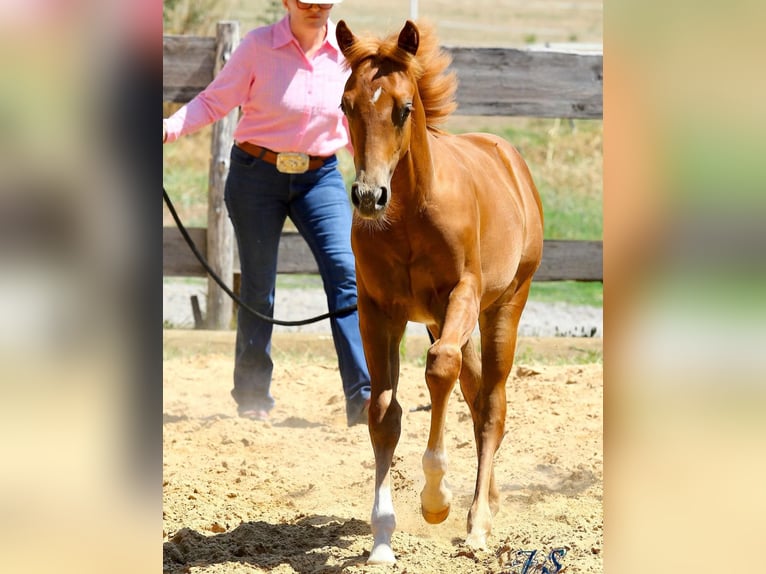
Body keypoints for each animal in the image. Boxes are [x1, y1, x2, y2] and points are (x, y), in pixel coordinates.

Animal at [336, 20, 544, 564]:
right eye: (346, 105)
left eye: (403, 108)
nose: (369, 197)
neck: (410, 213)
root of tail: (508, 157)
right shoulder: (378, 311)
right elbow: (383, 411)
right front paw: (382, 538)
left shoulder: (461, 295)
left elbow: (440, 368)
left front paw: (436, 499)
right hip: (436, 319)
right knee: (474, 396)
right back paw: (488, 497)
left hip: (503, 306)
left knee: (491, 403)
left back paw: (477, 524)